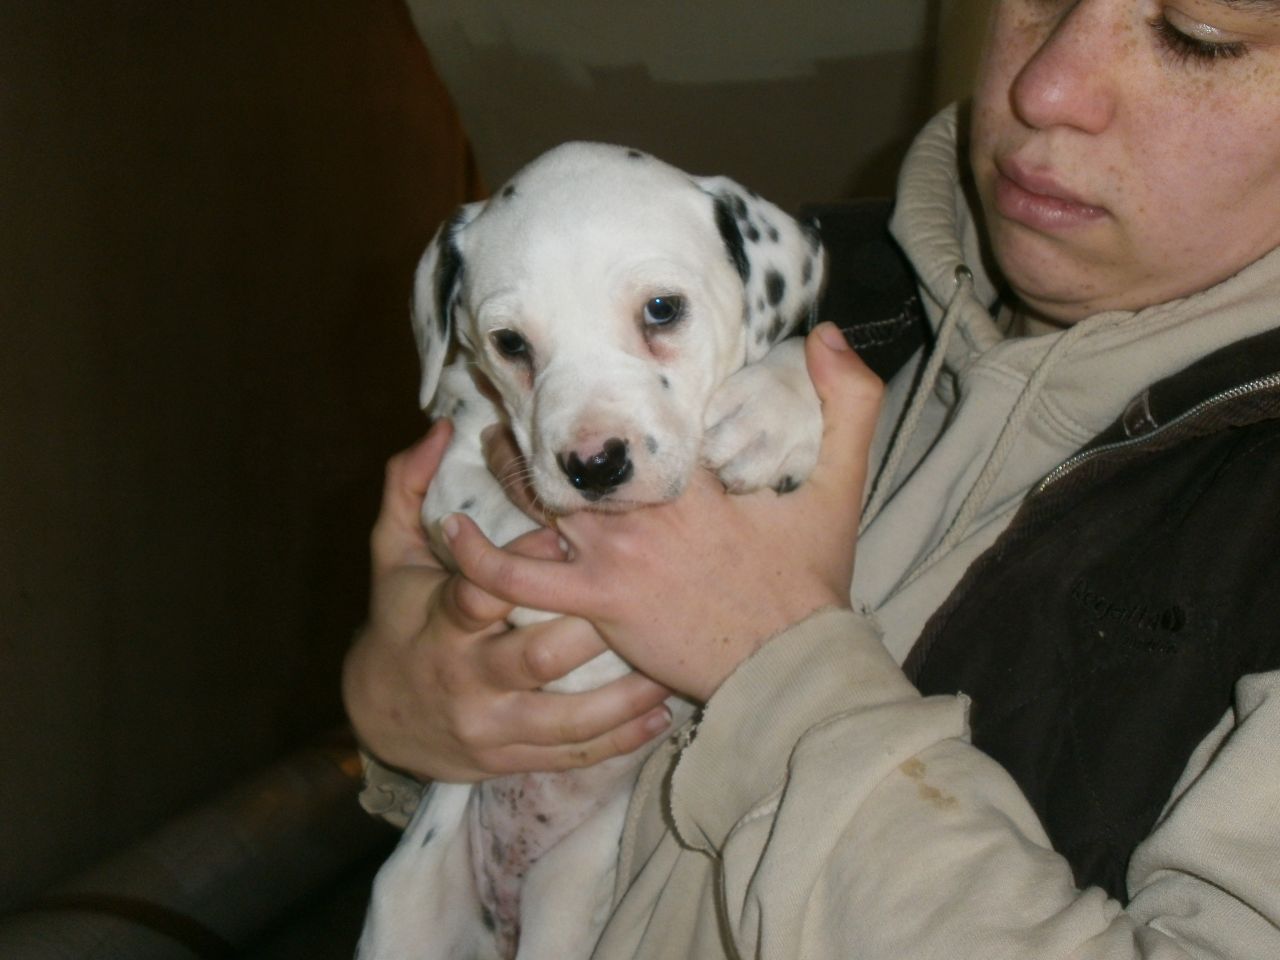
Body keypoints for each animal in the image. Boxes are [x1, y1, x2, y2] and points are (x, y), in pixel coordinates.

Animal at [355, 142, 824, 960]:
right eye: (511, 344)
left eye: (662, 309)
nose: (594, 465)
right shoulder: (454, 470)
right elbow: (495, 524)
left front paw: (775, 407)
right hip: (403, 911)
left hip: (570, 898)